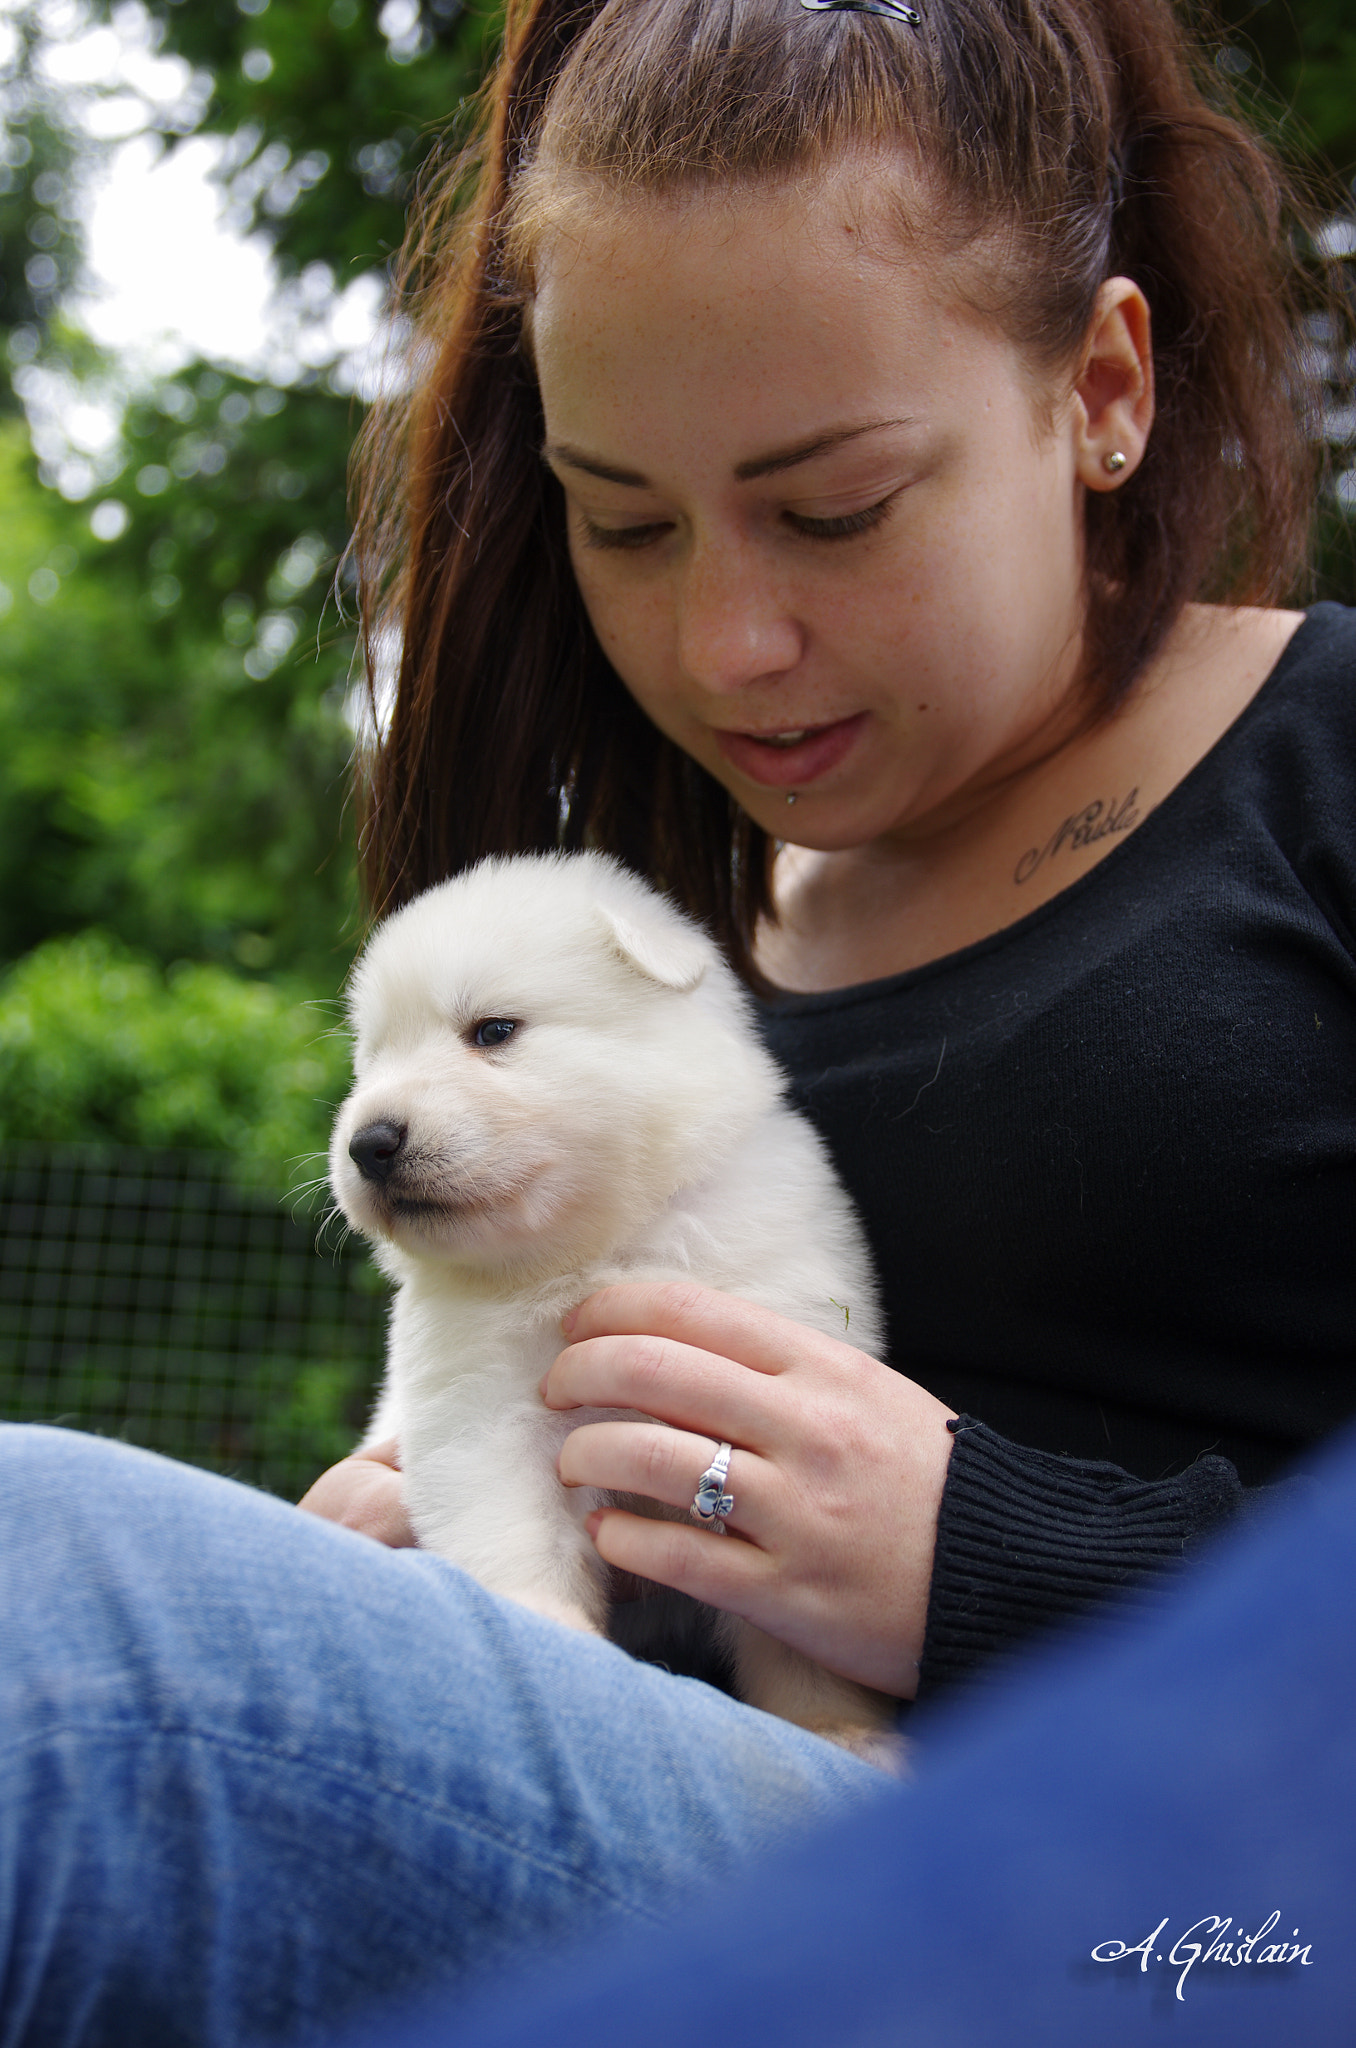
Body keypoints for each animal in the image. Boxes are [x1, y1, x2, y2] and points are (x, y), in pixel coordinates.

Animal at [329, 847, 901, 1761]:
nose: (368, 1143)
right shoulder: (480, 1414)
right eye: (371, 1059)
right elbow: (512, 1527)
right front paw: (545, 1631)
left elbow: (798, 1627)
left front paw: (833, 1725)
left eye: (493, 1031)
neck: (591, 1253)